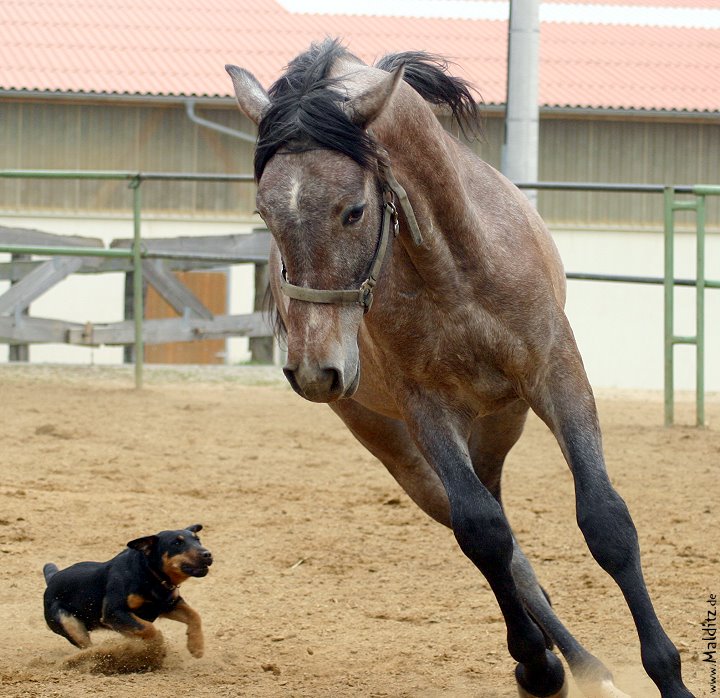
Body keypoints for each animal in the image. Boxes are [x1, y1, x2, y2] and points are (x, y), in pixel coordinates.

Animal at [42, 520, 212, 656]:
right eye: (176, 543)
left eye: (198, 540)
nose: (207, 554)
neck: (149, 575)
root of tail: (52, 579)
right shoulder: (114, 612)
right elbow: (148, 628)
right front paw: (155, 645)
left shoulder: (168, 605)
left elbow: (195, 615)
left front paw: (196, 647)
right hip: (70, 625)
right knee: (87, 646)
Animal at [228, 39, 696, 696]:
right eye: (266, 214)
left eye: (353, 211)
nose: (317, 370)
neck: (453, 268)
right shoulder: (426, 408)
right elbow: (481, 532)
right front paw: (534, 659)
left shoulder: (558, 374)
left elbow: (605, 520)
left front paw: (668, 675)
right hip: (400, 449)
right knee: (497, 542)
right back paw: (556, 667)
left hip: (499, 426)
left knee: (512, 533)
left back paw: (583, 667)